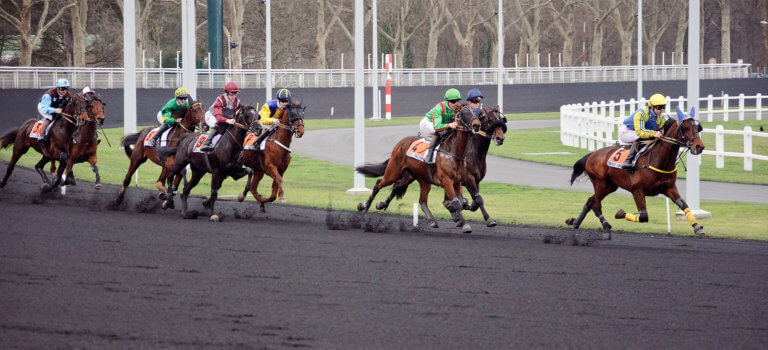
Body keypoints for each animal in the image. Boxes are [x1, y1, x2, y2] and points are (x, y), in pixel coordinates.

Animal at [356, 105, 476, 234]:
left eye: (478, 112)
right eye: (465, 113)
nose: (476, 125)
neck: (452, 153)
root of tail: (400, 143)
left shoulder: (457, 182)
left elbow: (461, 202)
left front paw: (462, 220)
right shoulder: (446, 181)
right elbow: (456, 202)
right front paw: (464, 225)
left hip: (420, 179)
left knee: (418, 198)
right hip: (393, 172)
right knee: (379, 183)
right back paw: (364, 205)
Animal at [564, 106, 708, 238]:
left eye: (697, 127)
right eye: (685, 128)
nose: (699, 146)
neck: (658, 159)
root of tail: (592, 154)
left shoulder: (669, 188)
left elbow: (684, 205)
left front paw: (697, 226)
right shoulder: (637, 189)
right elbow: (644, 216)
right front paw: (620, 213)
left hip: (610, 186)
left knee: (590, 201)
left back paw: (575, 222)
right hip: (600, 183)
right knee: (596, 205)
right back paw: (605, 225)